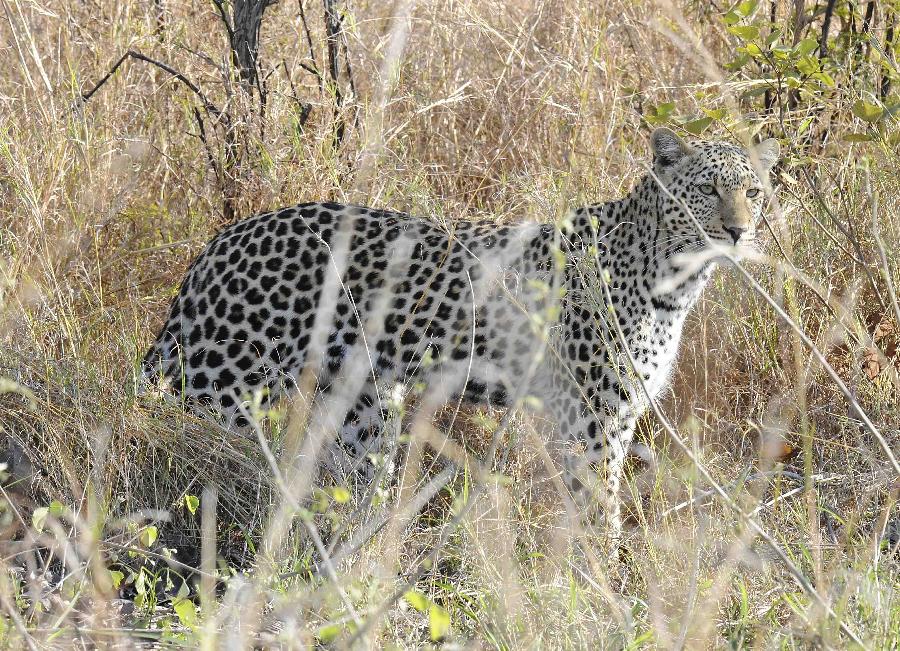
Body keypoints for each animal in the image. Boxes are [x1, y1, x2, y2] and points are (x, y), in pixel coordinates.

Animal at [142, 129, 780, 536]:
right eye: (708, 190)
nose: (738, 231)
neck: (674, 281)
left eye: (753, 190)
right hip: (222, 389)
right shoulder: (589, 419)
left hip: (364, 410)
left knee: (355, 486)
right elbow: (598, 506)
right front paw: (606, 587)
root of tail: (220, 242)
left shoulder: (617, 416)